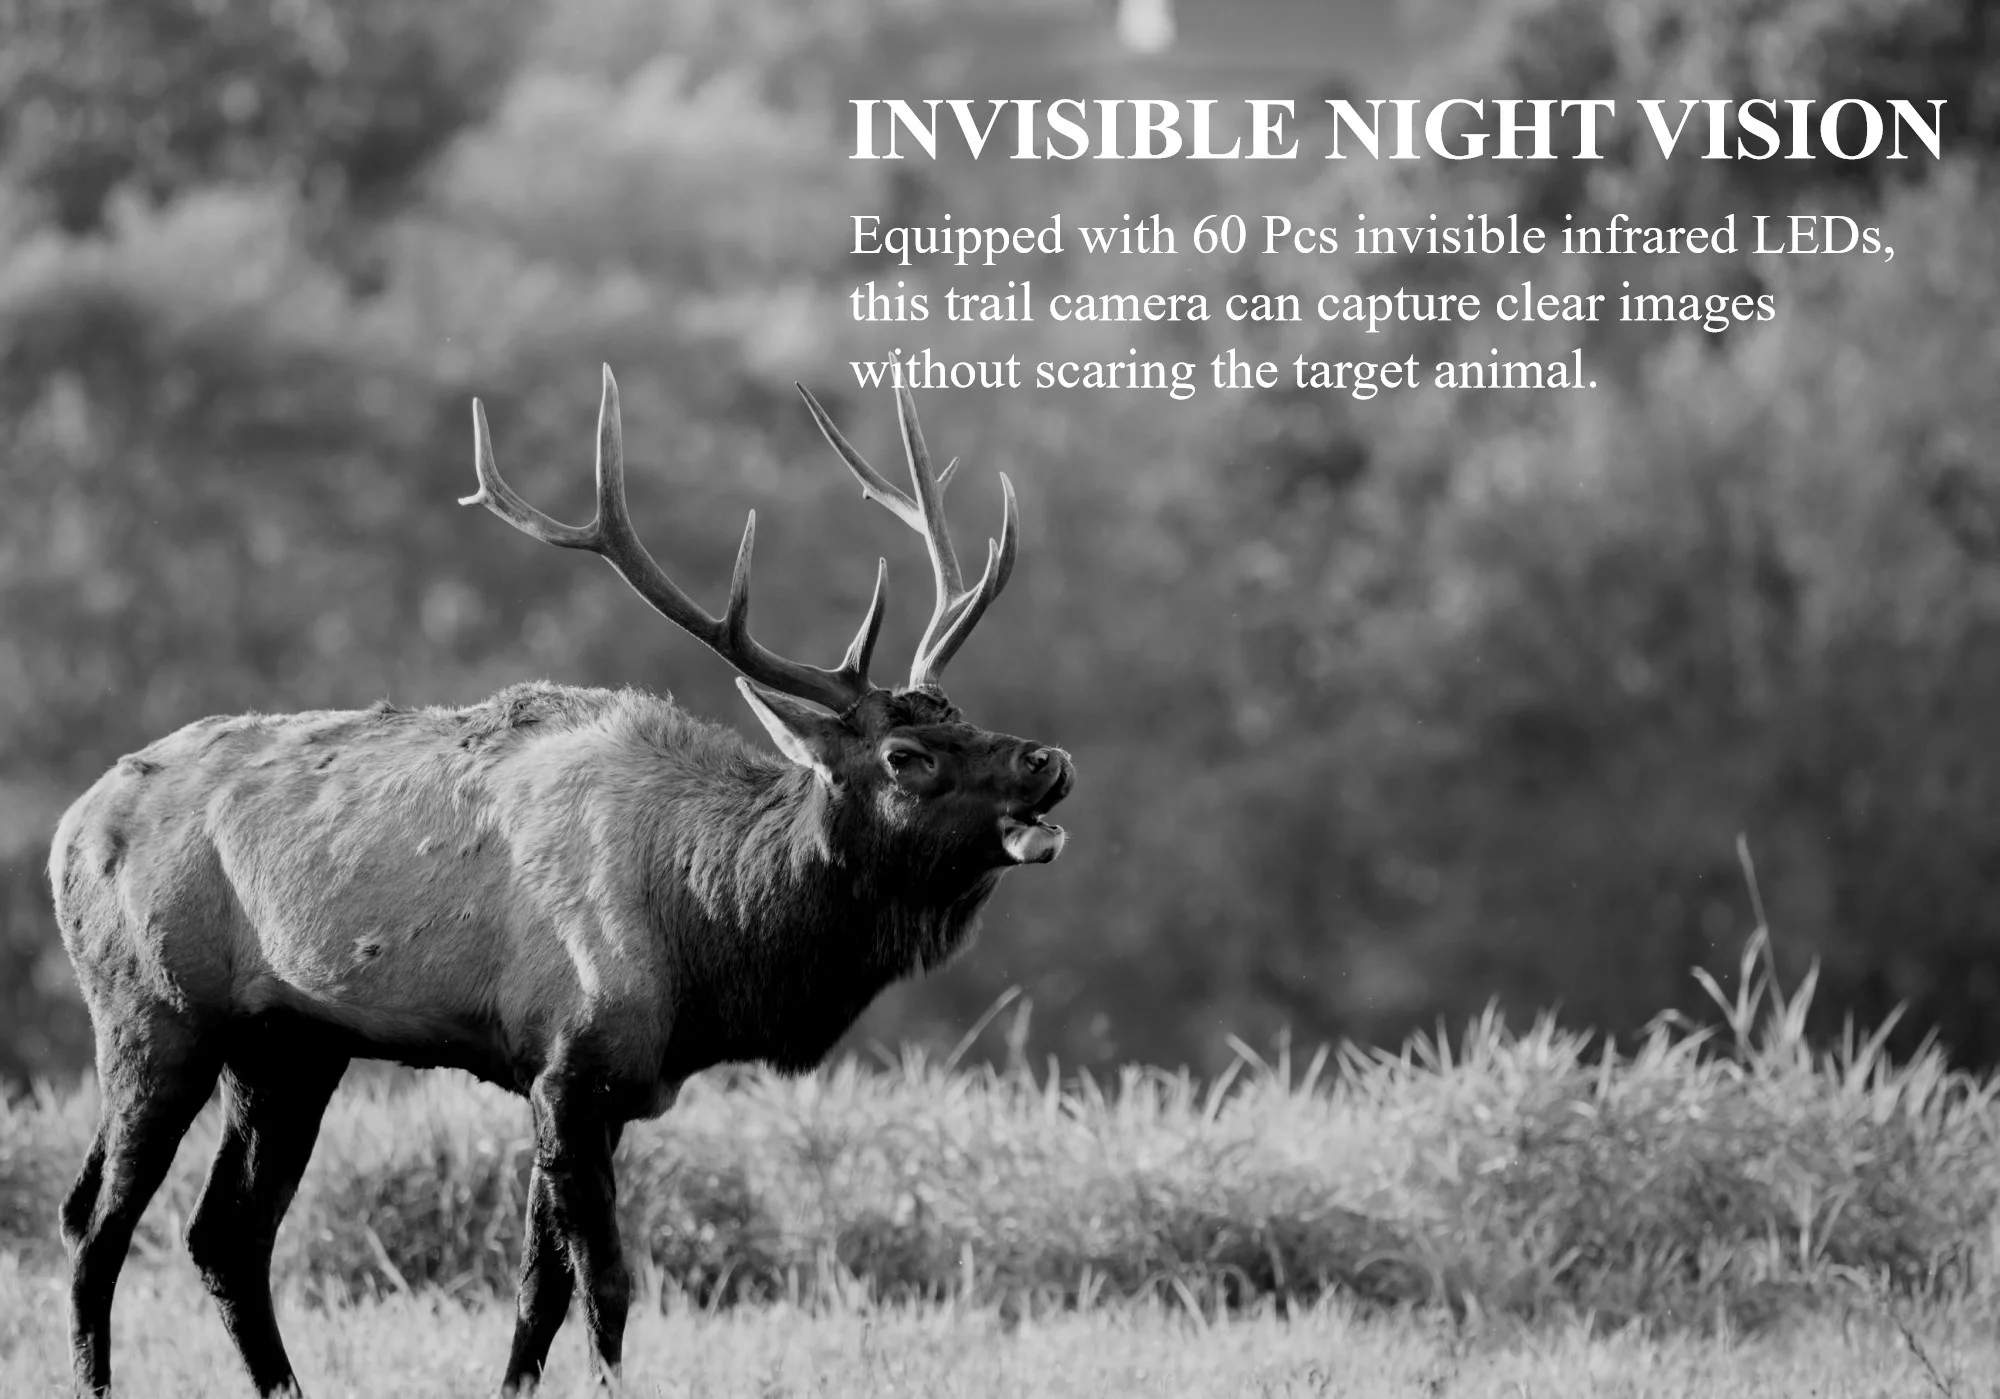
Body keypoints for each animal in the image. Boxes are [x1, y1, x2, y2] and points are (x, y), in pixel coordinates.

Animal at [48, 367, 1073, 1397]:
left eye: (964, 717)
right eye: (907, 755)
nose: (1049, 759)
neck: (709, 948)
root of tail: (68, 828)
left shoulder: (597, 1088)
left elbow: (537, 1293)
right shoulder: (570, 1064)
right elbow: (605, 1286)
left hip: (287, 1046)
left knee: (224, 1233)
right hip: (153, 1010)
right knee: (97, 1222)